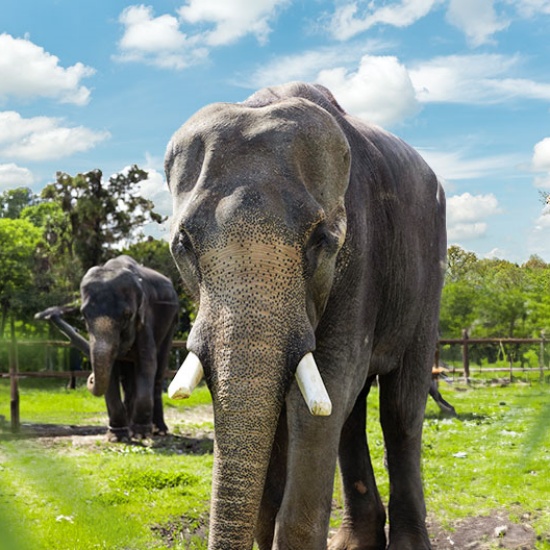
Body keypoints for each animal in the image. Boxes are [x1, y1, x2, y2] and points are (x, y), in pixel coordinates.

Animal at [165, 83, 448, 550]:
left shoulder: (362, 253)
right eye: (182, 243)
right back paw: (355, 544)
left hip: (428, 283)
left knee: (400, 410)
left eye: (321, 239)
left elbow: (318, 392)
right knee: (351, 414)